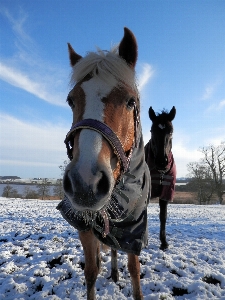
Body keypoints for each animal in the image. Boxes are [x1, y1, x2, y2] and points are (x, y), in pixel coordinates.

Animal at [57, 28, 150, 300]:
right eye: (71, 100)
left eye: (130, 101)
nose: (85, 182)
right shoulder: (84, 224)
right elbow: (91, 271)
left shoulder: (134, 231)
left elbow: (134, 270)